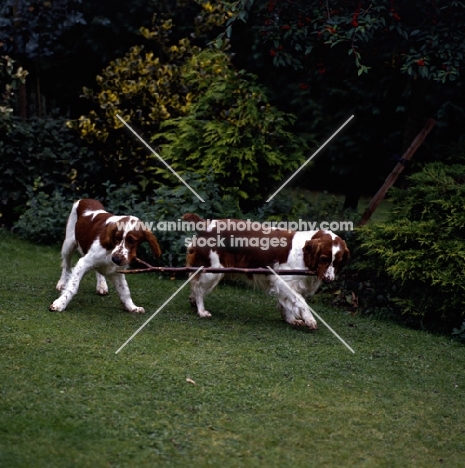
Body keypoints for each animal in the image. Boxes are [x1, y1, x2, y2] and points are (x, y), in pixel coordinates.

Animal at [181, 213, 348, 330]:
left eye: (337, 262)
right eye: (324, 259)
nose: (328, 279)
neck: (303, 252)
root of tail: (205, 225)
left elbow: (288, 303)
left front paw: (291, 320)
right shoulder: (283, 280)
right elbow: (300, 301)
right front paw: (310, 319)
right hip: (213, 271)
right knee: (197, 287)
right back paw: (201, 311)